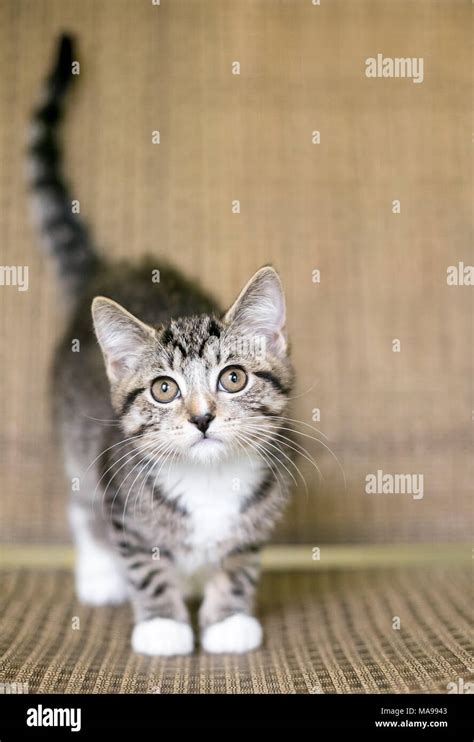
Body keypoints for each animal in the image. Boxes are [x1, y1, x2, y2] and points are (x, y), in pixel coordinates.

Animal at [28, 37, 292, 660]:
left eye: (233, 378)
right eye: (164, 389)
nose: (201, 418)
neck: (209, 481)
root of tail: (108, 266)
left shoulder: (263, 508)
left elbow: (239, 561)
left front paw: (227, 620)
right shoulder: (119, 489)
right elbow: (144, 561)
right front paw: (163, 624)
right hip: (75, 435)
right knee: (80, 503)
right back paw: (99, 574)